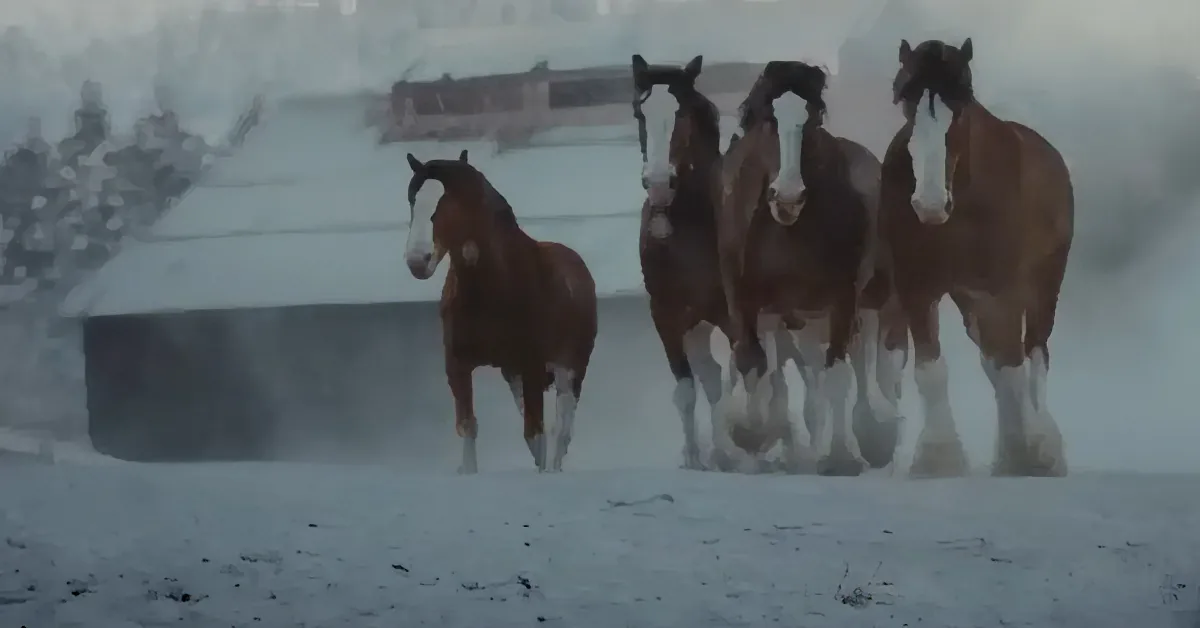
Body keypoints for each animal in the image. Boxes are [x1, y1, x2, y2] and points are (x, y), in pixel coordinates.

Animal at [403, 150, 599, 473]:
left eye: (448, 204)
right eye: (412, 202)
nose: (417, 261)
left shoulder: (534, 365)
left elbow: (536, 433)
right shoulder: (458, 365)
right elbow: (469, 426)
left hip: (570, 369)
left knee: (562, 429)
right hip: (514, 374)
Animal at [630, 54, 739, 470]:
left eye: (683, 114)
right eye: (639, 112)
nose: (660, 184)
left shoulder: (733, 315)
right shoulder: (668, 317)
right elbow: (689, 389)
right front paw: (695, 457)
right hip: (697, 325)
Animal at [717, 60, 908, 476]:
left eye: (814, 119)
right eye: (768, 118)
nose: (788, 195)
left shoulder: (843, 300)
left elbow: (838, 374)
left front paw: (843, 455)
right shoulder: (746, 301)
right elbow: (754, 366)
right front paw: (751, 431)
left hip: (872, 300)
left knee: (873, 365)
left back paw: (877, 432)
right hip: (801, 318)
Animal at [882, 39, 1072, 477]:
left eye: (961, 105)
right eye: (904, 101)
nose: (930, 203)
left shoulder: (1003, 290)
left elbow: (1014, 369)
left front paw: (1025, 452)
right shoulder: (916, 286)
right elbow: (932, 370)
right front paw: (938, 457)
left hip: (1044, 284)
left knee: (1035, 357)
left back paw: (1043, 444)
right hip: (970, 299)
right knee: (995, 362)